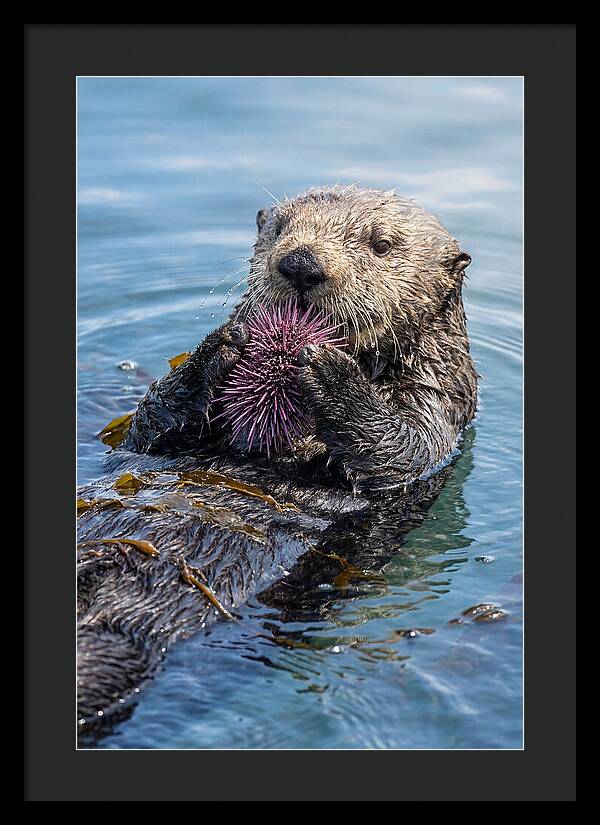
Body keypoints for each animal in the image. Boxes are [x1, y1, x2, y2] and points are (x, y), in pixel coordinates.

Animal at [77, 185, 477, 740]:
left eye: (381, 245)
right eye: (280, 228)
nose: (301, 264)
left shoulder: (439, 406)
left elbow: (401, 450)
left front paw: (331, 374)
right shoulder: (150, 440)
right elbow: (147, 427)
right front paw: (219, 347)